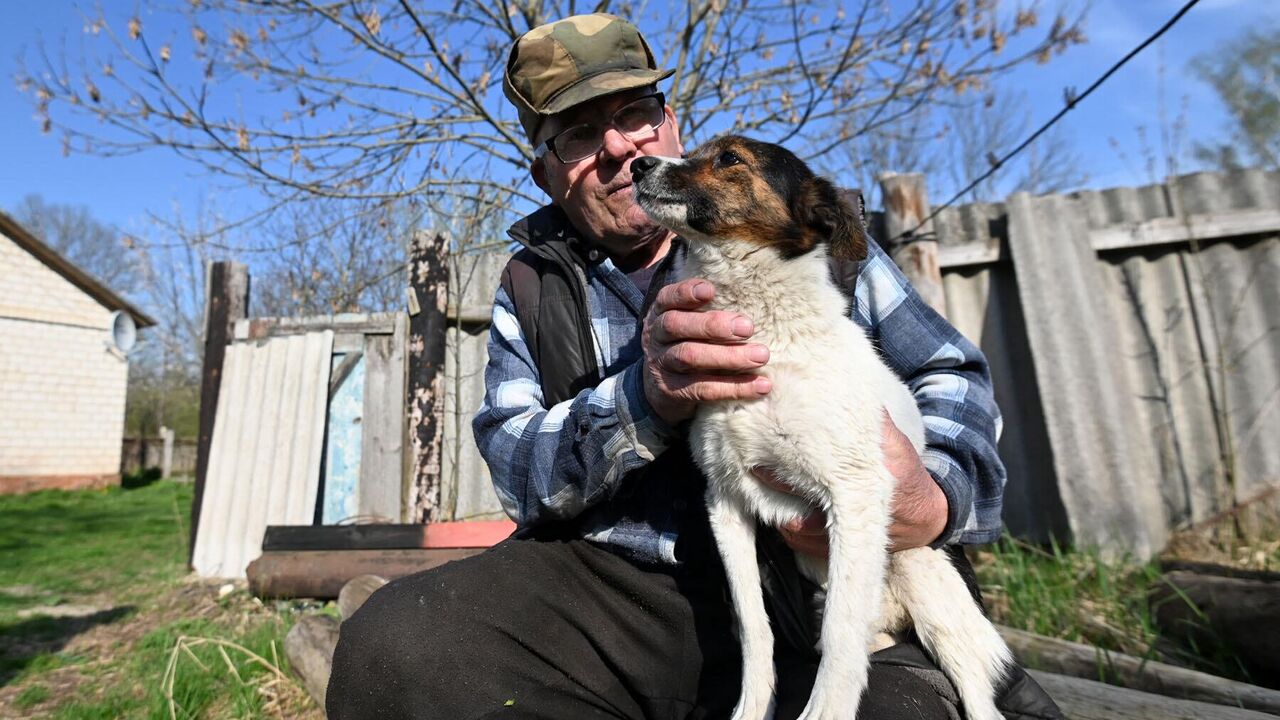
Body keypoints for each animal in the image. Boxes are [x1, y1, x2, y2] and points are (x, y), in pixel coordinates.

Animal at [629, 135, 1008, 717]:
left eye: (729, 158)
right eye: (689, 151)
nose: (637, 163)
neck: (766, 334)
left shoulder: (854, 495)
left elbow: (839, 637)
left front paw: (824, 710)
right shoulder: (726, 502)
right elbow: (754, 629)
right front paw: (750, 708)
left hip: (924, 574)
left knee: (973, 691)